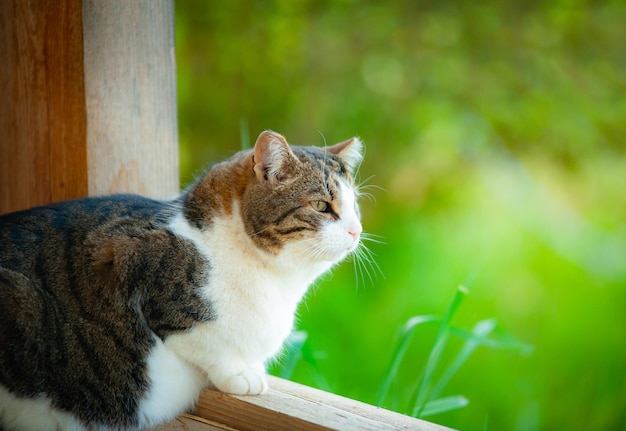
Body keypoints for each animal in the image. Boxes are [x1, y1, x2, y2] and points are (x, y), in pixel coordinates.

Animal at [0, 132, 364, 431]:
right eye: (321, 205)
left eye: (354, 207)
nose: (356, 231)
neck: (276, 281)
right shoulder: (124, 258)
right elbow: (205, 338)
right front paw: (241, 374)